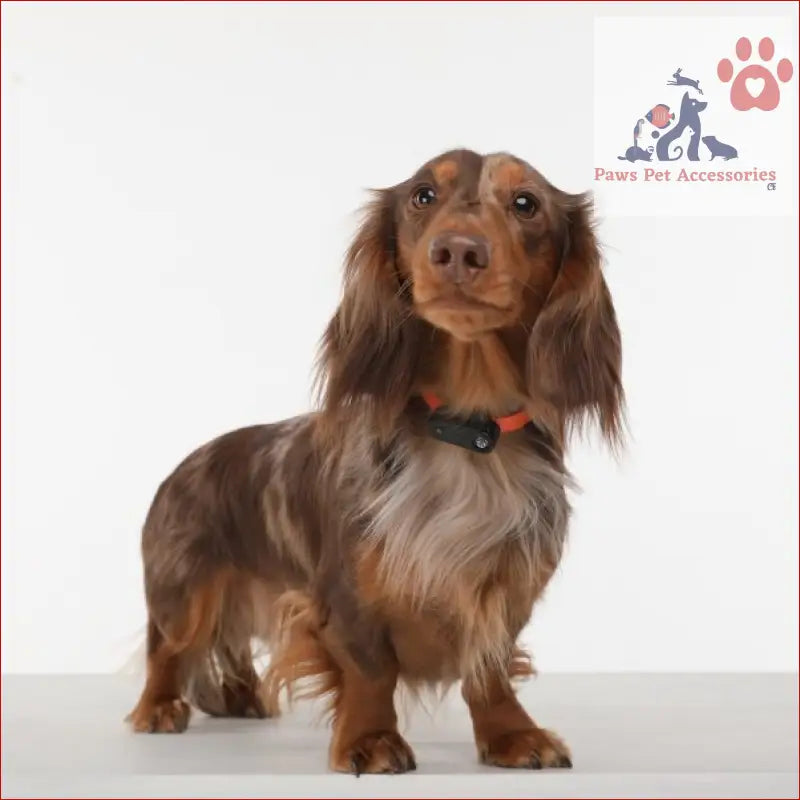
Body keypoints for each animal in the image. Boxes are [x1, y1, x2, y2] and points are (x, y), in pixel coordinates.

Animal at [128, 148, 620, 776]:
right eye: (422, 196)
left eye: (526, 203)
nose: (458, 251)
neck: (467, 435)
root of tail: (186, 463)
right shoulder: (348, 591)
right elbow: (371, 668)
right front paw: (370, 739)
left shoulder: (505, 588)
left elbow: (488, 667)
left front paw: (512, 734)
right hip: (185, 592)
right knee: (167, 649)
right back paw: (158, 706)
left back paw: (242, 698)